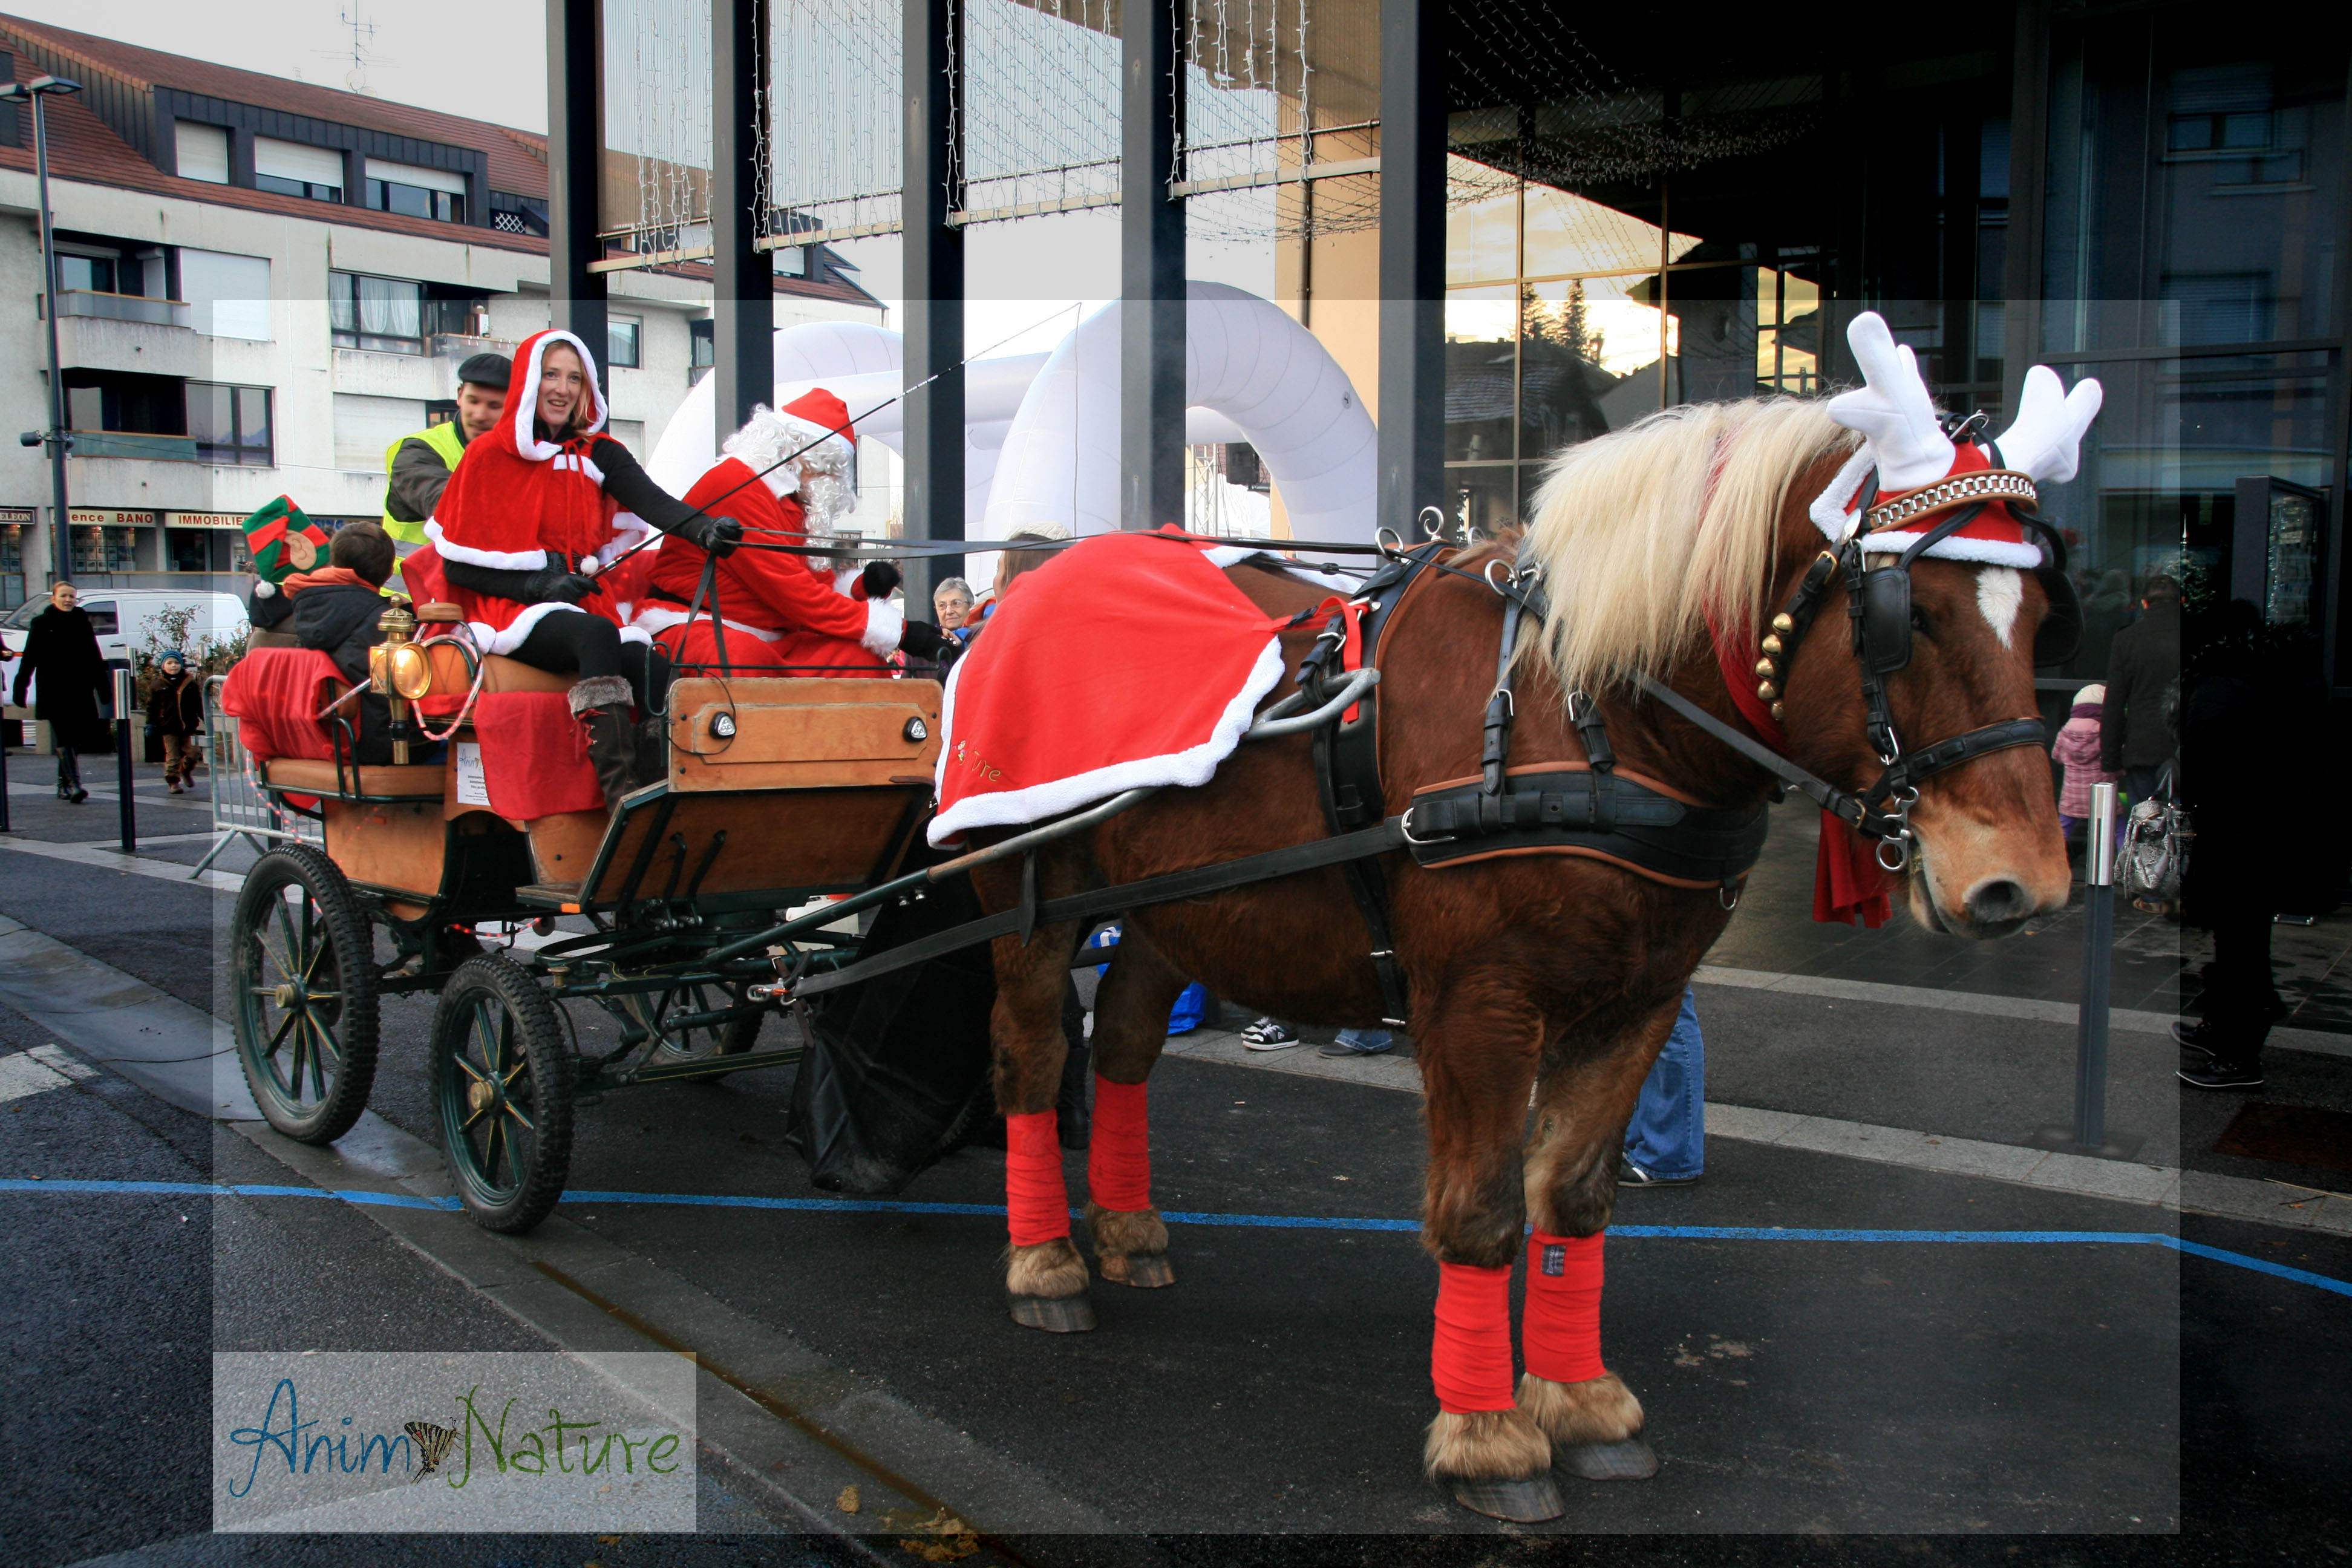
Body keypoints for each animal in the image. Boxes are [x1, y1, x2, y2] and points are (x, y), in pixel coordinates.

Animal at [964, 392, 2069, 1523]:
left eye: (2038, 616)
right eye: (1907, 616)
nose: (2022, 884)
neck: (1589, 716)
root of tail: (1024, 586)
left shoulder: (1638, 1004)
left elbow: (1573, 1198)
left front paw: (1578, 1399)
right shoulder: (1477, 1007)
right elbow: (1482, 1213)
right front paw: (1488, 1435)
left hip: (1169, 910)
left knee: (1124, 1041)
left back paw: (1125, 1228)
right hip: (1027, 902)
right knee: (1030, 1056)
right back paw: (1045, 1259)